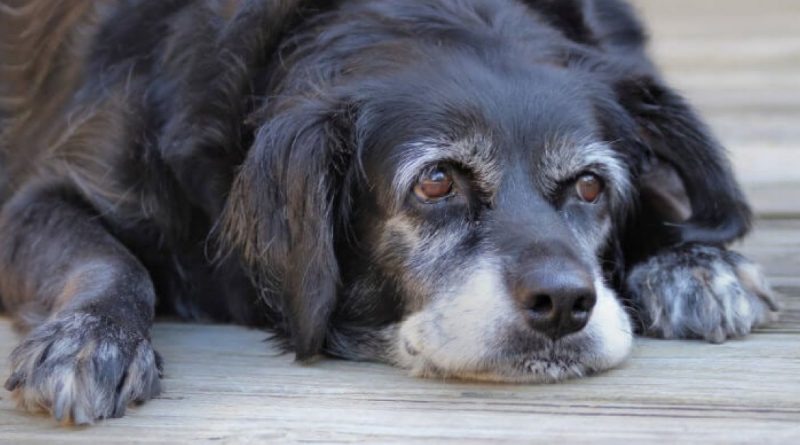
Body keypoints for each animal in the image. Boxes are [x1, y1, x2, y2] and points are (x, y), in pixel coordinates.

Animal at [0, 0, 780, 424]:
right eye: (436, 182)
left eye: (590, 187)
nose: (564, 303)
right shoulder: (37, 199)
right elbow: (111, 260)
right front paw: (93, 339)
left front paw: (692, 261)